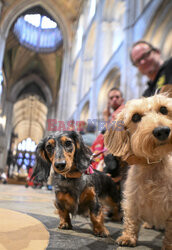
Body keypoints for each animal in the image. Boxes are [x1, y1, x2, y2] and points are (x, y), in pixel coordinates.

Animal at [104, 94, 171, 250]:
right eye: (135, 117)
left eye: (164, 109)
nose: (162, 131)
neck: (153, 165)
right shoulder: (132, 198)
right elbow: (131, 219)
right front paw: (128, 237)